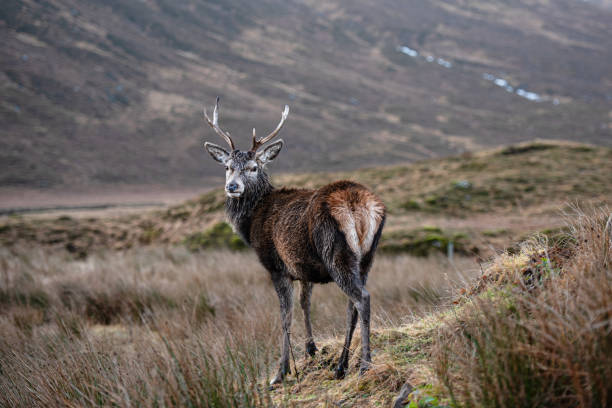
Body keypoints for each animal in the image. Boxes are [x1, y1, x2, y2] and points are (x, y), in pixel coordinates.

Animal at [203, 97, 384, 384]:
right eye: (227, 167)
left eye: (254, 167)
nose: (232, 187)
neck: (251, 222)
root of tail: (358, 205)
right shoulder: (304, 267)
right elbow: (304, 303)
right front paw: (311, 349)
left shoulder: (276, 266)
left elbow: (285, 315)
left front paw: (281, 372)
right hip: (367, 257)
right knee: (352, 304)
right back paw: (341, 365)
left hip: (336, 253)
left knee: (362, 298)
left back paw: (365, 365)